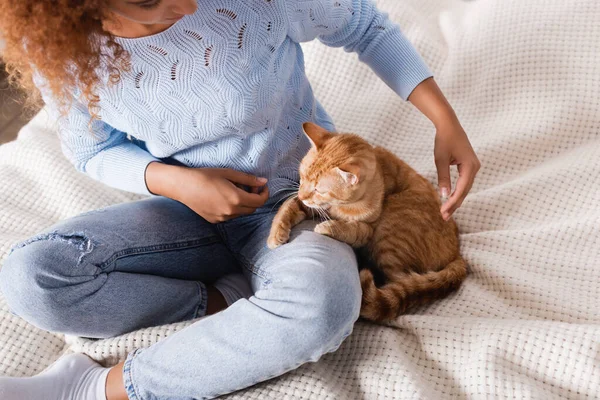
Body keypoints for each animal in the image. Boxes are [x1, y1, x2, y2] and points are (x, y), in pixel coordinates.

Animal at [268, 121, 468, 322]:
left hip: (390, 230)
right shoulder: (308, 205)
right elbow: (287, 206)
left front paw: (329, 226)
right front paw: (276, 234)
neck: (340, 206)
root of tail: (456, 252)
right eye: (302, 177)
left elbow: (350, 229)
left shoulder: (366, 231)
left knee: (401, 281)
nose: (302, 194)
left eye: (320, 190)